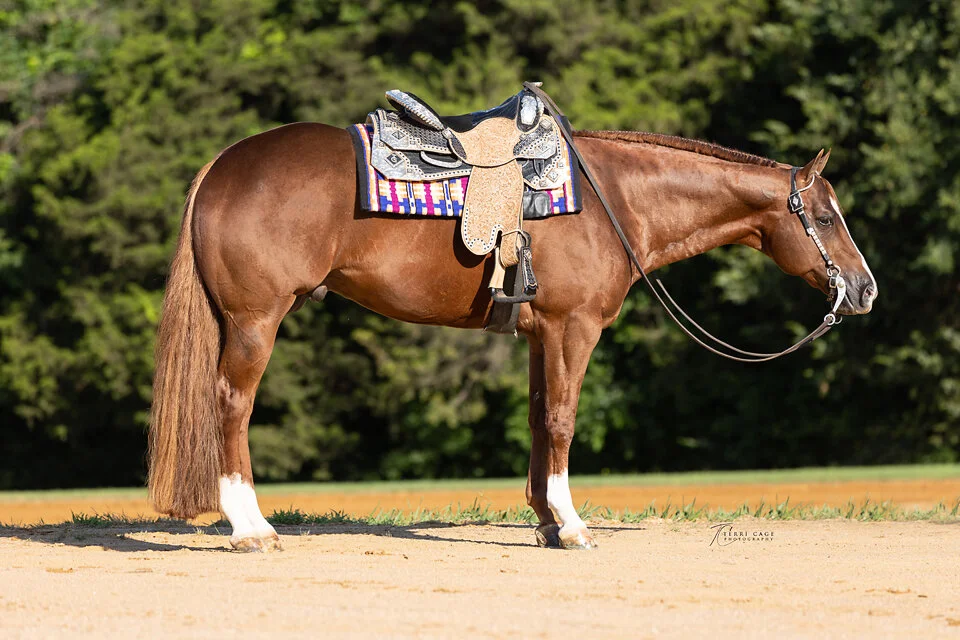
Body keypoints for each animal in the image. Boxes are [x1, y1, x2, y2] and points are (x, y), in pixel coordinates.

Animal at [147, 123, 877, 551]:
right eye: (824, 216)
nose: (865, 289)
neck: (611, 198)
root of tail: (222, 165)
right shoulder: (572, 327)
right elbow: (562, 420)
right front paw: (573, 526)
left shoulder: (539, 332)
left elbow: (536, 418)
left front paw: (548, 522)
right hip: (255, 322)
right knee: (231, 404)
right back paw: (251, 528)